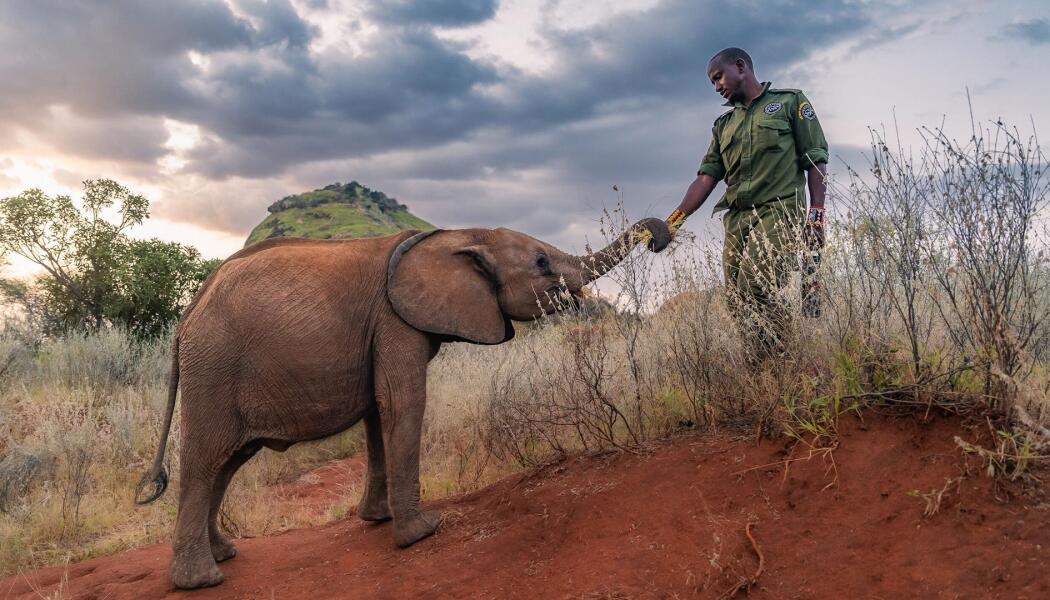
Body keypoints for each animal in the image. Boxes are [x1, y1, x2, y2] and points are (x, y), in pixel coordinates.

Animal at [135, 218, 671, 589]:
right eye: (541, 263)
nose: (659, 237)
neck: (460, 233)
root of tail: (186, 317)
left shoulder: (382, 330)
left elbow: (379, 411)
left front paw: (378, 520)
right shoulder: (396, 321)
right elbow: (403, 401)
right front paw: (422, 532)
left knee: (227, 463)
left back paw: (224, 554)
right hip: (214, 367)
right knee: (207, 461)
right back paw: (201, 580)